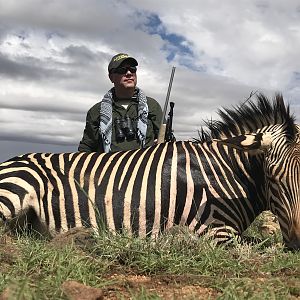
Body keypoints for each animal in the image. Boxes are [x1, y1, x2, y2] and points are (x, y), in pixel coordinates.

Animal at [0, 93, 298, 248]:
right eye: (272, 177)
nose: (297, 242)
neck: (223, 172)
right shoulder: (215, 231)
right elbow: (262, 246)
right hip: (17, 188)